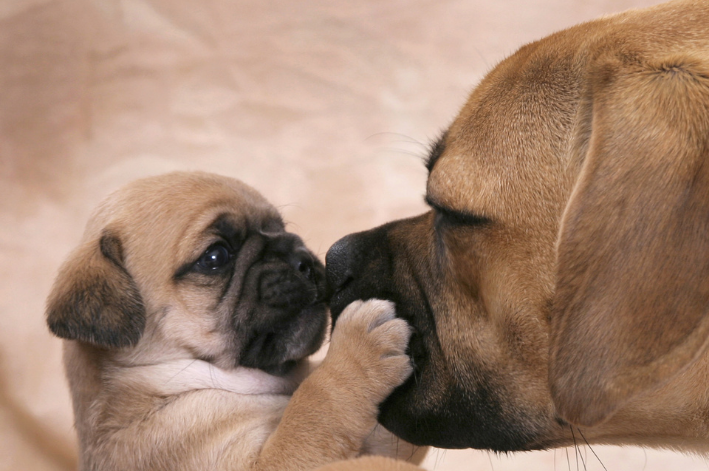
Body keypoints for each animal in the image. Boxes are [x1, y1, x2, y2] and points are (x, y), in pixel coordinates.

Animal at [47, 172, 424, 471]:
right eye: (215, 257)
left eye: (280, 229)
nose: (303, 259)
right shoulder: (262, 461)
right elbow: (318, 404)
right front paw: (356, 353)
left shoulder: (377, 444)